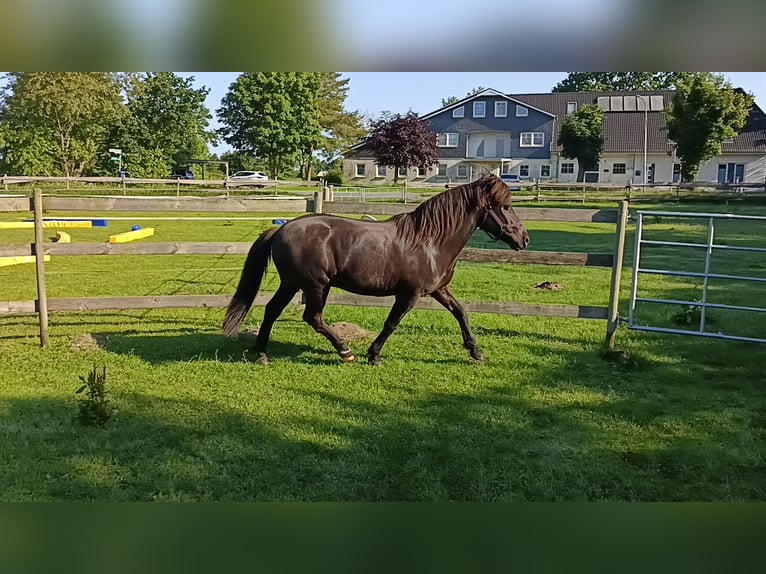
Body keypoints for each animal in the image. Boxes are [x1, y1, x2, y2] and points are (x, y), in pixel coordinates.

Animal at [222, 173, 530, 365]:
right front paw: (374, 355)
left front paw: (476, 351)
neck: (430, 241)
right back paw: (345, 351)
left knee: (272, 310)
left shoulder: (439, 290)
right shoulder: (409, 294)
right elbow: (391, 323)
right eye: (504, 207)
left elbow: (461, 313)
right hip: (315, 285)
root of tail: (282, 228)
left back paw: (261, 353)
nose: (524, 239)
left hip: (293, 284)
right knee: (313, 317)